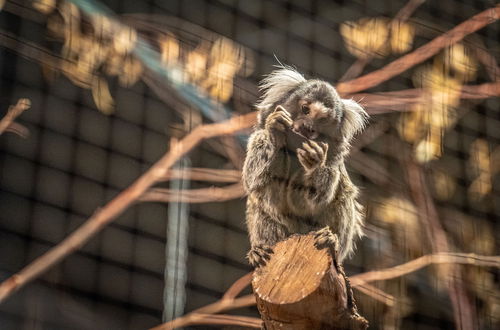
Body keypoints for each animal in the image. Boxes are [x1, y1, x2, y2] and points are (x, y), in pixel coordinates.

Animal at [242, 67, 368, 268]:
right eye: (305, 109)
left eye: (322, 120)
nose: (308, 127)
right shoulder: (258, 137)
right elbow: (253, 180)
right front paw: (276, 131)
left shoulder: (332, 161)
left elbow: (312, 200)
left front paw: (315, 163)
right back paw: (260, 250)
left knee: (343, 197)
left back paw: (331, 240)